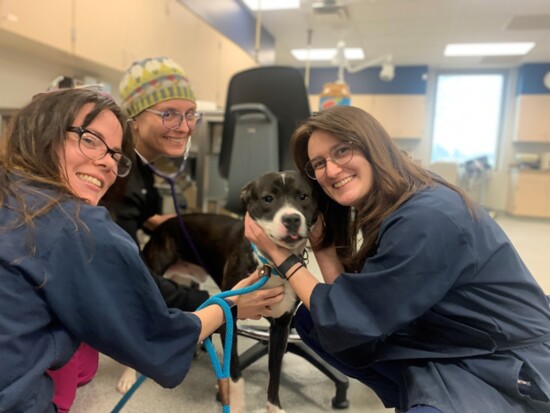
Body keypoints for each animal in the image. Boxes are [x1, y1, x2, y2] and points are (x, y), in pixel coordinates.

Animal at [141, 169, 320, 410]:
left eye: (303, 196)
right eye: (268, 199)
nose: (291, 219)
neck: (270, 265)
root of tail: (163, 225)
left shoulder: (281, 327)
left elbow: (274, 376)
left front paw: (274, 407)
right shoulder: (228, 318)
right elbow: (234, 373)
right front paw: (234, 404)